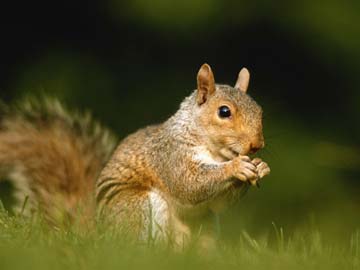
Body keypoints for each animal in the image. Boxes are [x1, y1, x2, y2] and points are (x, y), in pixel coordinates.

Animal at [0, 63, 268, 247]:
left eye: (260, 111)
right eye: (224, 112)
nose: (257, 145)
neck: (214, 152)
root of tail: (98, 233)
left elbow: (219, 202)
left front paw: (261, 166)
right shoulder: (169, 155)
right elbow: (188, 184)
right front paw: (236, 168)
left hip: (205, 226)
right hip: (136, 207)